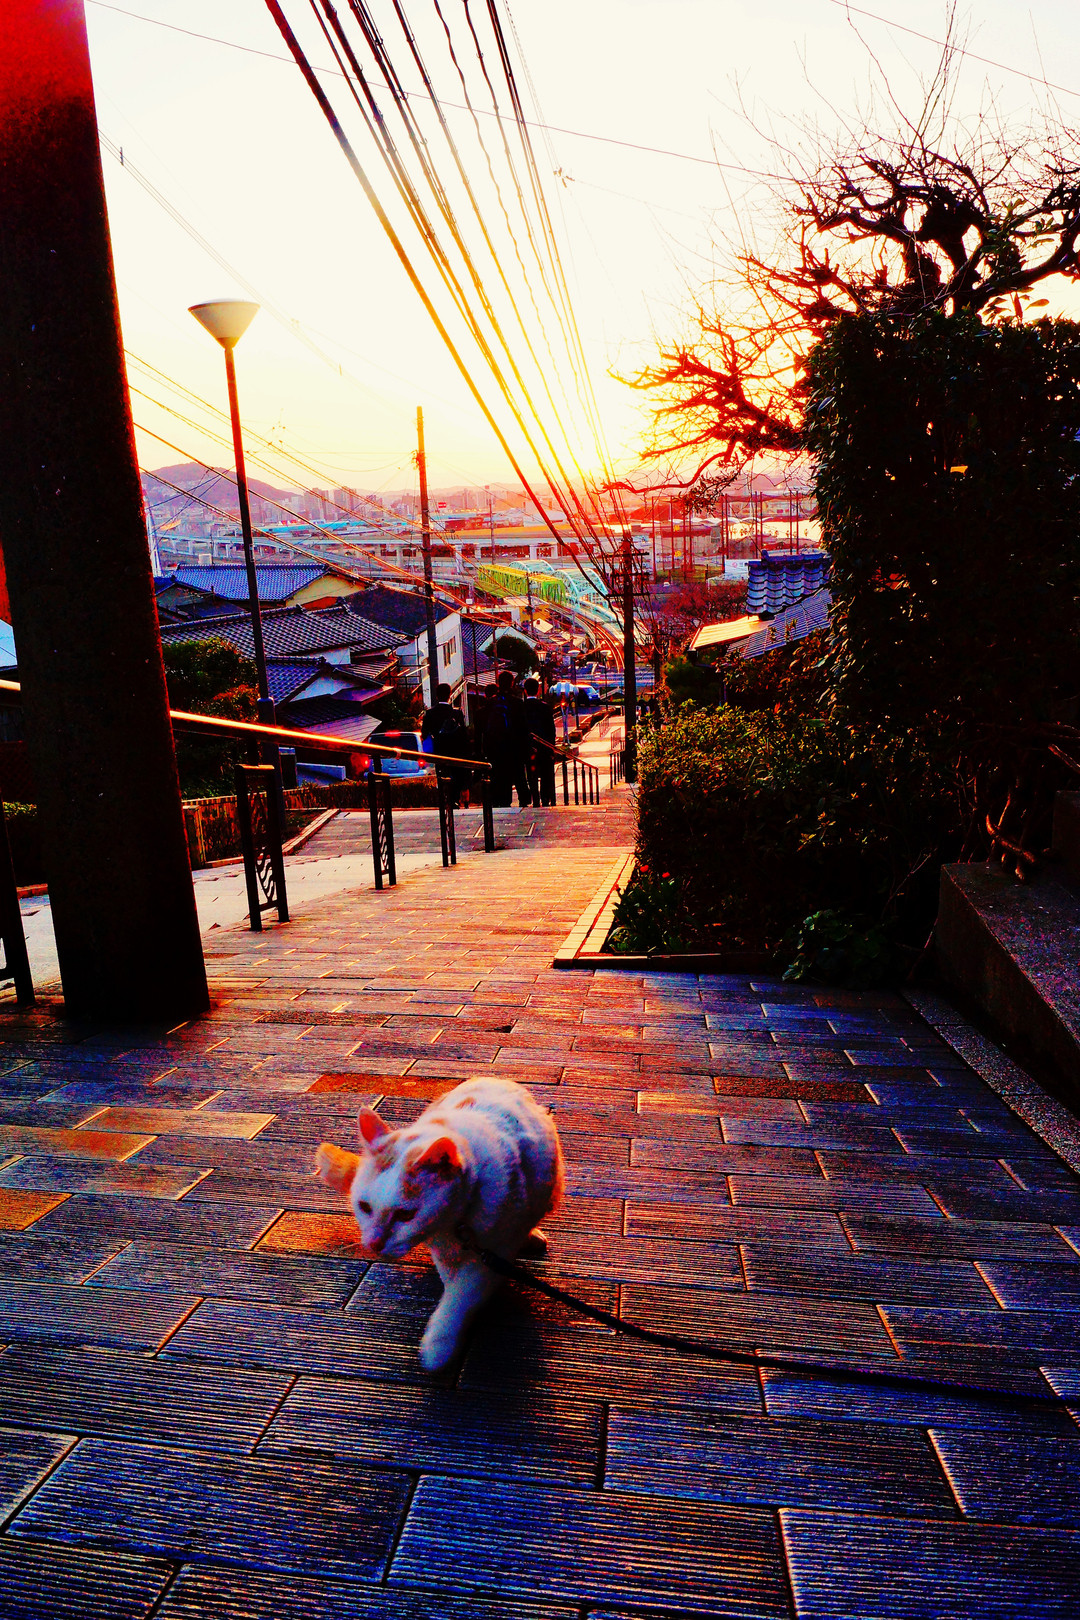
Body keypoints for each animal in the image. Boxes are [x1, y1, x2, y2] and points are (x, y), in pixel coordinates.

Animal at [315, 1076, 564, 1372]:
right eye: (364, 1207)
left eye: (405, 1215)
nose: (374, 1243)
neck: (456, 1222)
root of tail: (496, 1078)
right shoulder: (443, 1247)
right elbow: (452, 1280)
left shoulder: (497, 1249)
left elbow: (463, 1293)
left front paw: (440, 1342)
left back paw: (531, 1235)